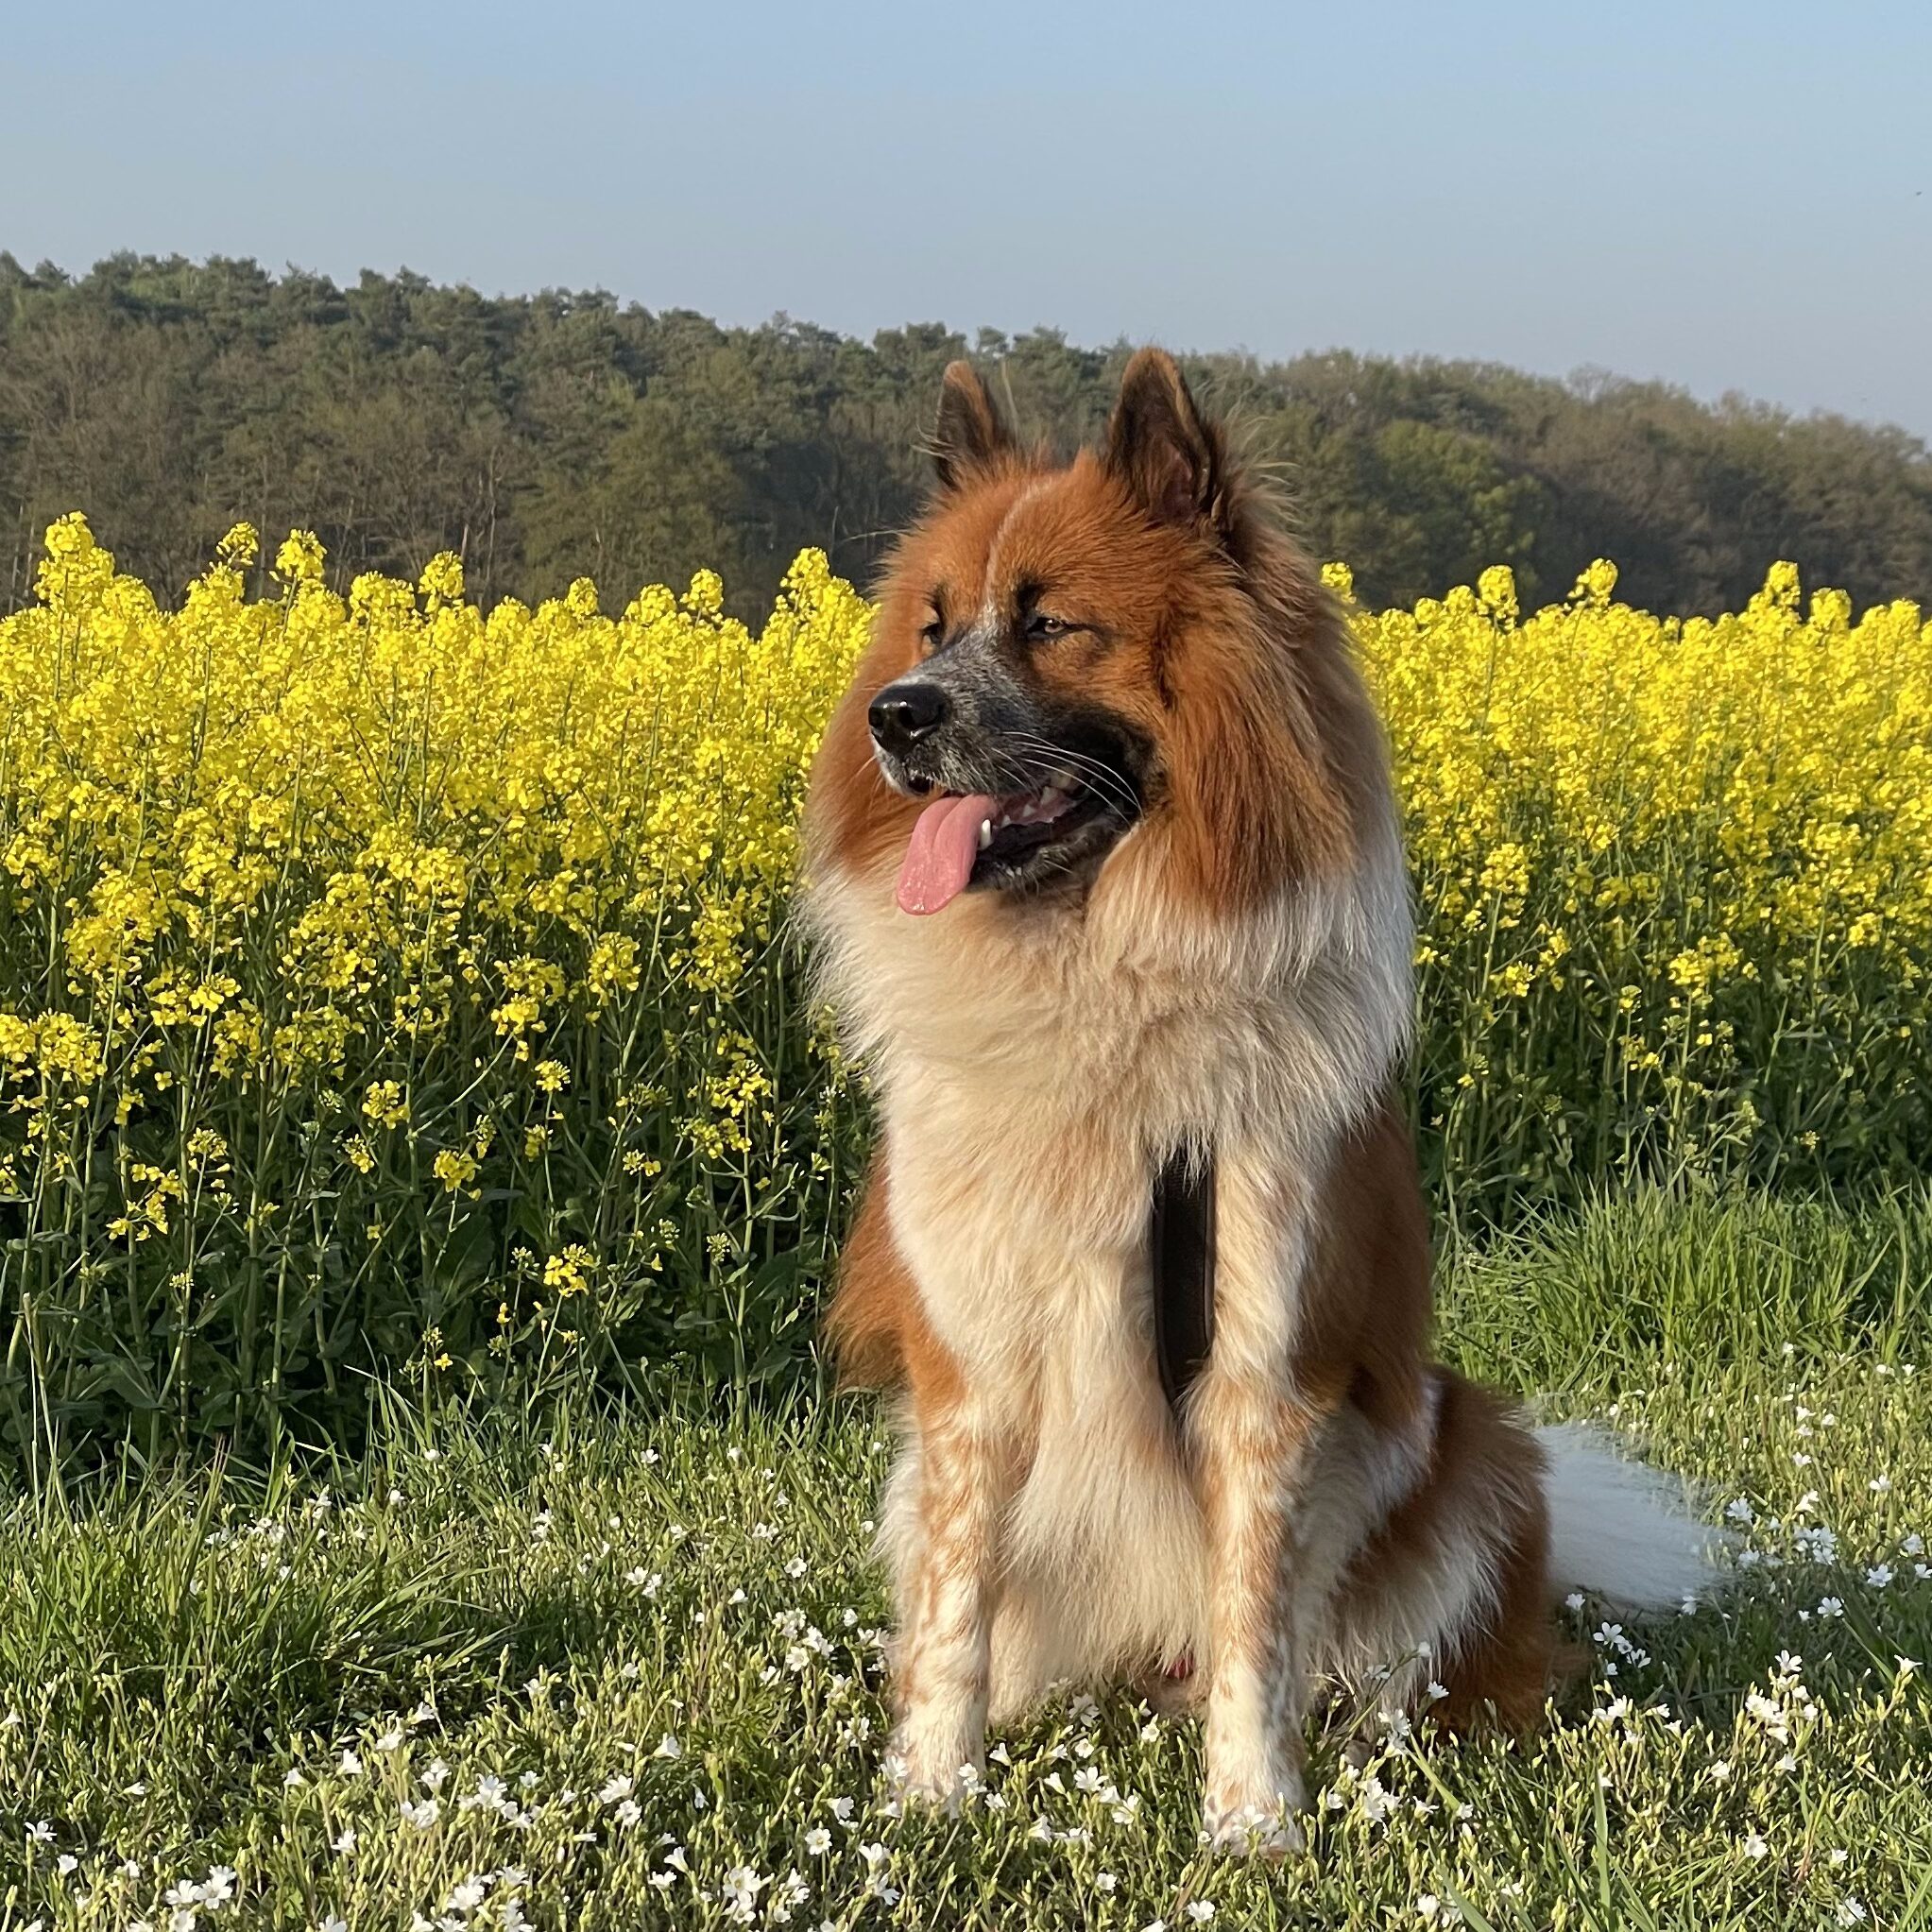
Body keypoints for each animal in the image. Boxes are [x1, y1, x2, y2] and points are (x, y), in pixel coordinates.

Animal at [800, 350, 1720, 1853]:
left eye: (1049, 623)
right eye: (929, 626)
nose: (898, 715)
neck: (1101, 989)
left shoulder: (1263, 1364)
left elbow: (1254, 1623)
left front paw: (1251, 1826)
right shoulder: (970, 1373)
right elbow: (952, 1615)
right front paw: (931, 1793)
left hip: (1472, 1447)